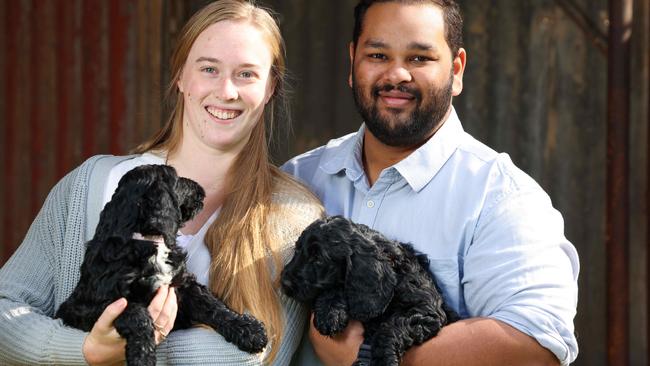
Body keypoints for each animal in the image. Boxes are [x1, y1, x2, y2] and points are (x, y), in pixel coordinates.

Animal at [55, 165, 268, 366]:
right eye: (176, 178)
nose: (201, 189)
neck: (148, 241)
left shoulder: (182, 284)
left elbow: (213, 305)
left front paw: (249, 330)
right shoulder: (88, 306)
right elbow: (136, 314)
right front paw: (143, 356)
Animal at [278, 216, 456, 364]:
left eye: (318, 259)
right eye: (297, 250)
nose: (284, 282)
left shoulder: (426, 310)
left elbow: (392, 326)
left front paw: (383, 359)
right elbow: (339, 286)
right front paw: (329, 312)